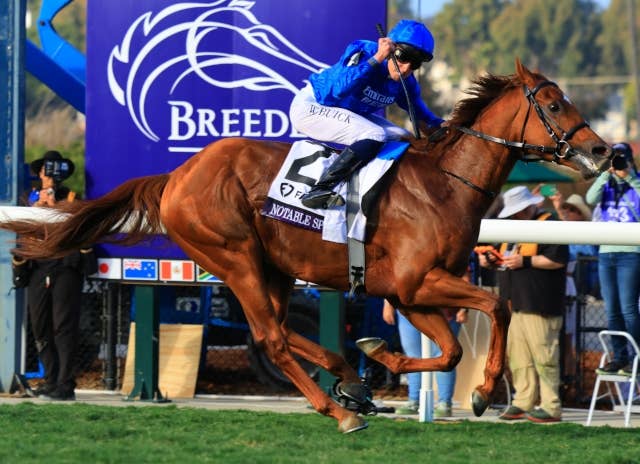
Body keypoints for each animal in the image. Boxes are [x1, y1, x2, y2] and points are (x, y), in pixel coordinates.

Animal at [2, 60, 611, 432]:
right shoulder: (419, 281)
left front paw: (379, 356)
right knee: (270, 336)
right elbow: (499, 304)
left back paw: (347, 378)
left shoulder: (410, 293)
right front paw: (482, 392)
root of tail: (176, 175)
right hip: (236, 257)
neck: (443, 184)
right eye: (553, 104)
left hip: (272, 266)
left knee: (278, 328)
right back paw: (338, 409)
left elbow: (450, 348)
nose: (604, 152)